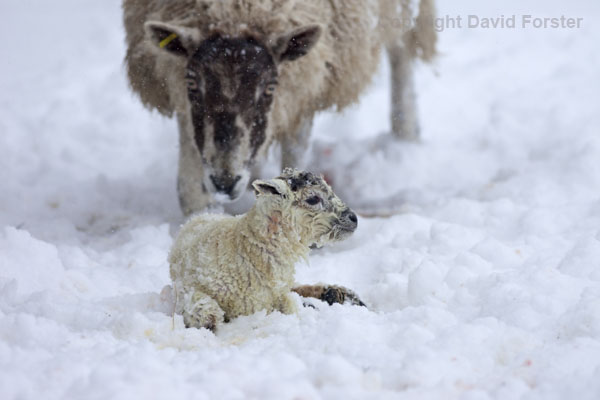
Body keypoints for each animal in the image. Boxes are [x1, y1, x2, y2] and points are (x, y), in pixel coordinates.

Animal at [124, 0, 438, 214]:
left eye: (269, 88)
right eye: (192, 84)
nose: (225, 182)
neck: (236, 11)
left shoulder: (306, 85)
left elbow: (296, 154)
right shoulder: (180, 96)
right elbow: (189, 190)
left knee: (401, 45)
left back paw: (406, 132)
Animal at [169, 167, 366, 330]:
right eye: (313, 199)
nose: (354, 218)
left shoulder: (280, 292)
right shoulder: (187, 289)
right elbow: (204, 311)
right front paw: (209, 317)